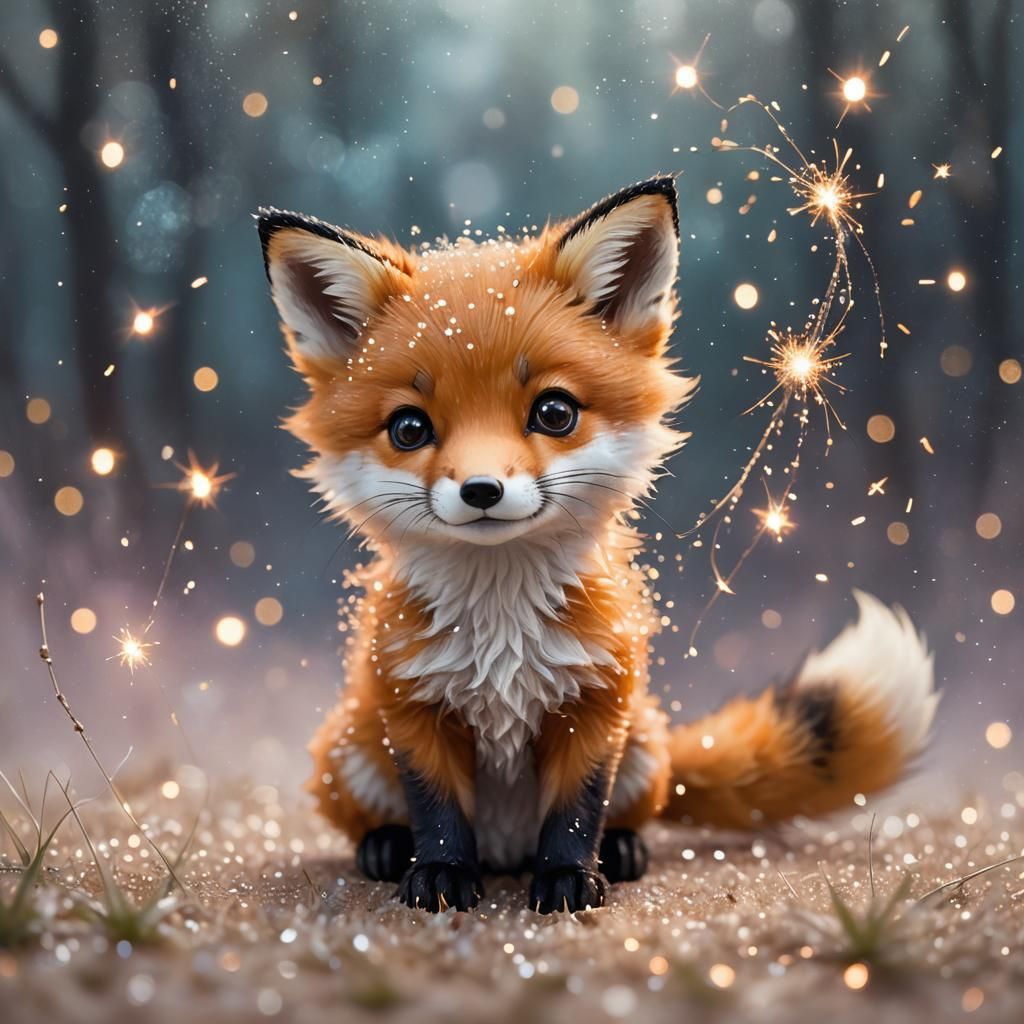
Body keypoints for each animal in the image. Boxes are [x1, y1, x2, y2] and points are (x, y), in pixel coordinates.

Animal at [255, 176, 938, 914]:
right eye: (409, 429)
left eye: (554, 413)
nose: (482, 489)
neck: (502, 631)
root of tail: (505, 851)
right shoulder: (412, 706)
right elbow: (437, 812)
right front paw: (438, 875)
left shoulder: (597, 703)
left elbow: (577, 811)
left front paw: (568, 880)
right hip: (350, 749)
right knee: (378, 817)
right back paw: (384, 846)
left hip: (641, 746)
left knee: (627, 813)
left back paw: (622, 849)